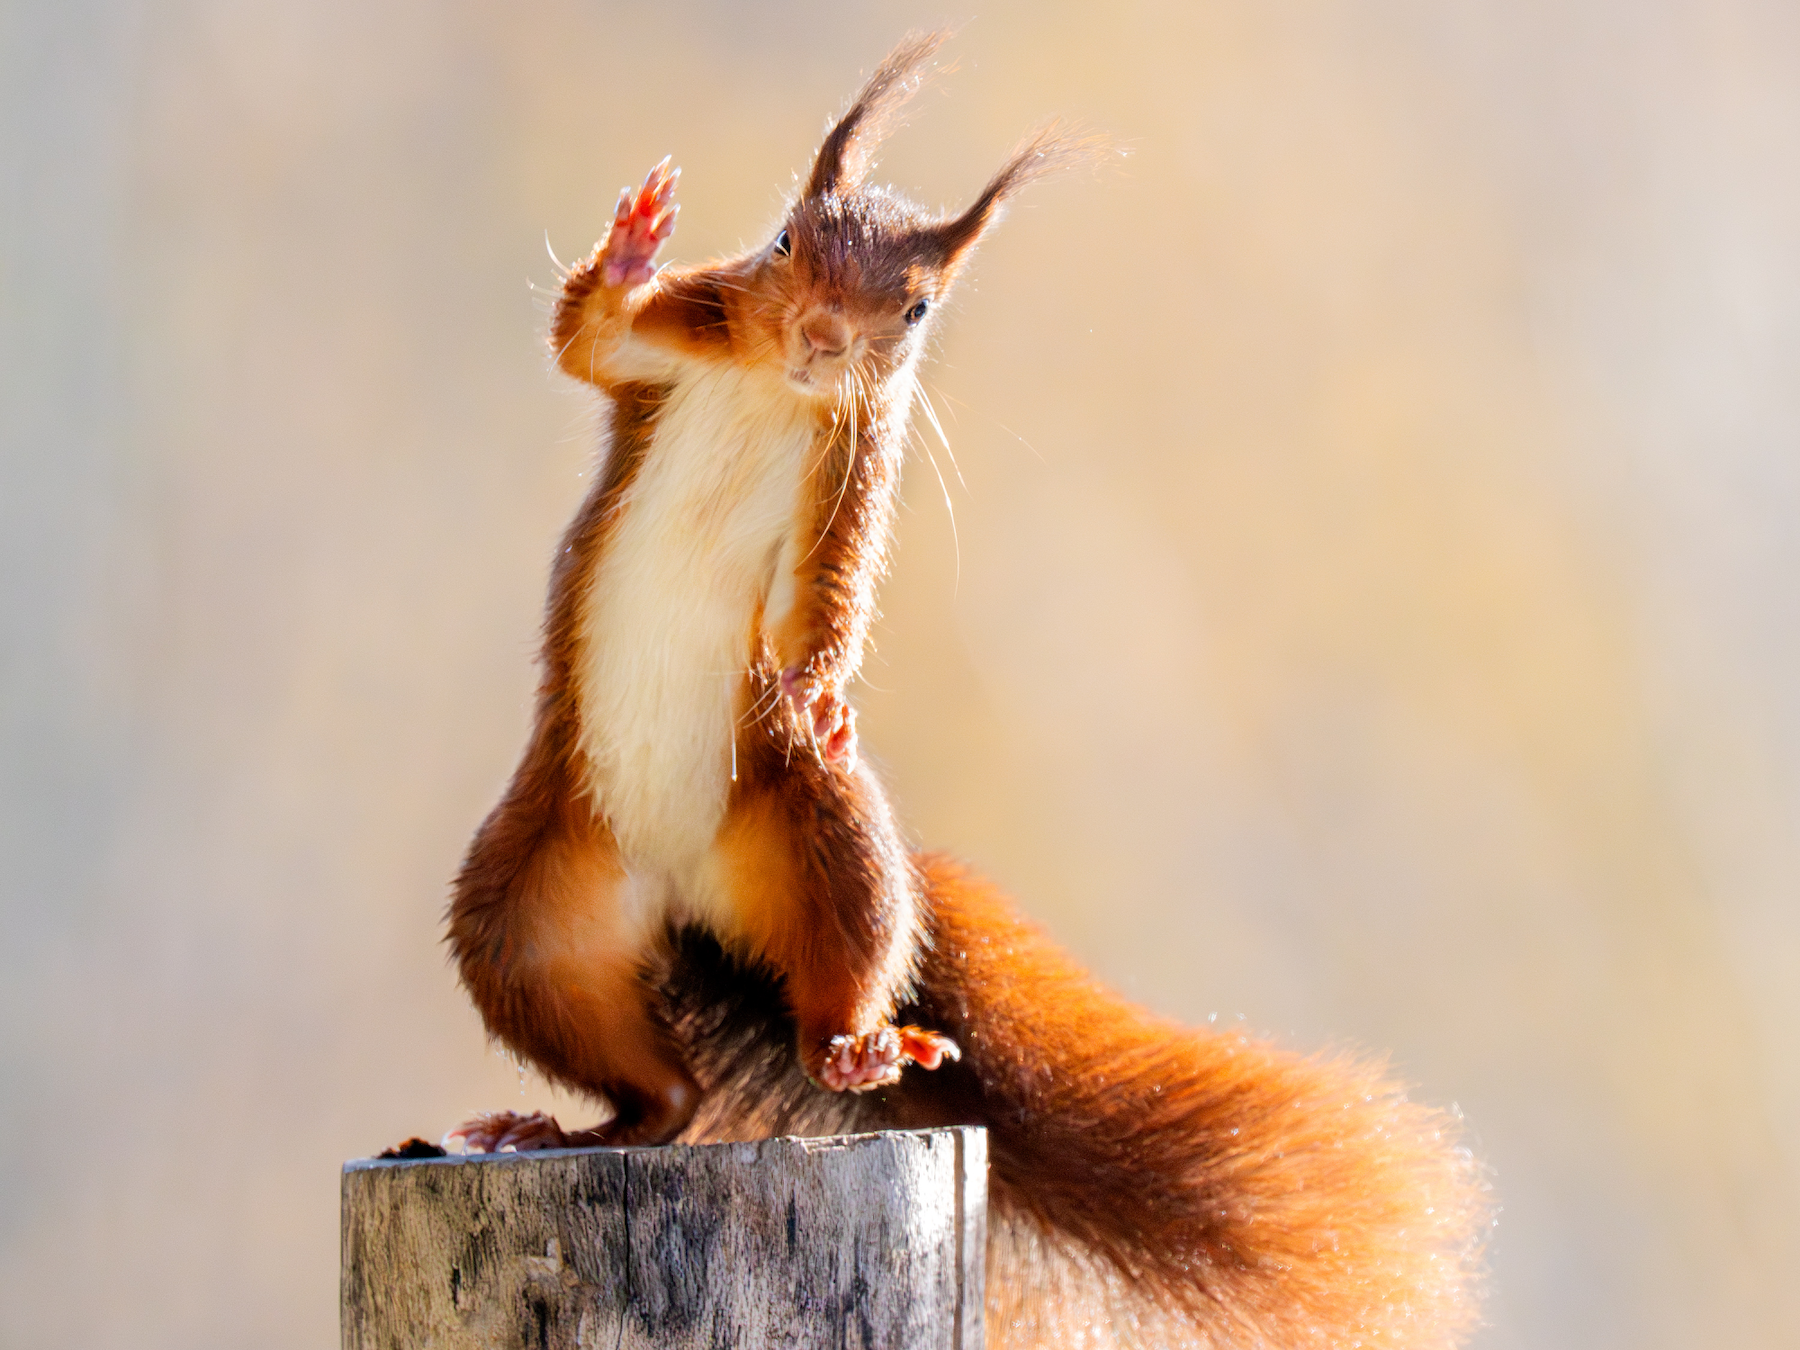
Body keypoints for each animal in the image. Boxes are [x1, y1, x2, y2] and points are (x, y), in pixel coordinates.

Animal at [444, 31, 1488, 1349]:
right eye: (783, 244)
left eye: (917, 306)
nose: (824, 336)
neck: (780, 389)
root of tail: (682, 901)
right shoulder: (672, 344)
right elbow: (588, 336)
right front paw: (632, 240)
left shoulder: (854, 470)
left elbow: (823, 600)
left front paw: (816, 686)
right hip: (530, 916)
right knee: (656, 1090)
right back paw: (549, 1124)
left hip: (822, 840)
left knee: (806, 998)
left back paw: (846, 1049)